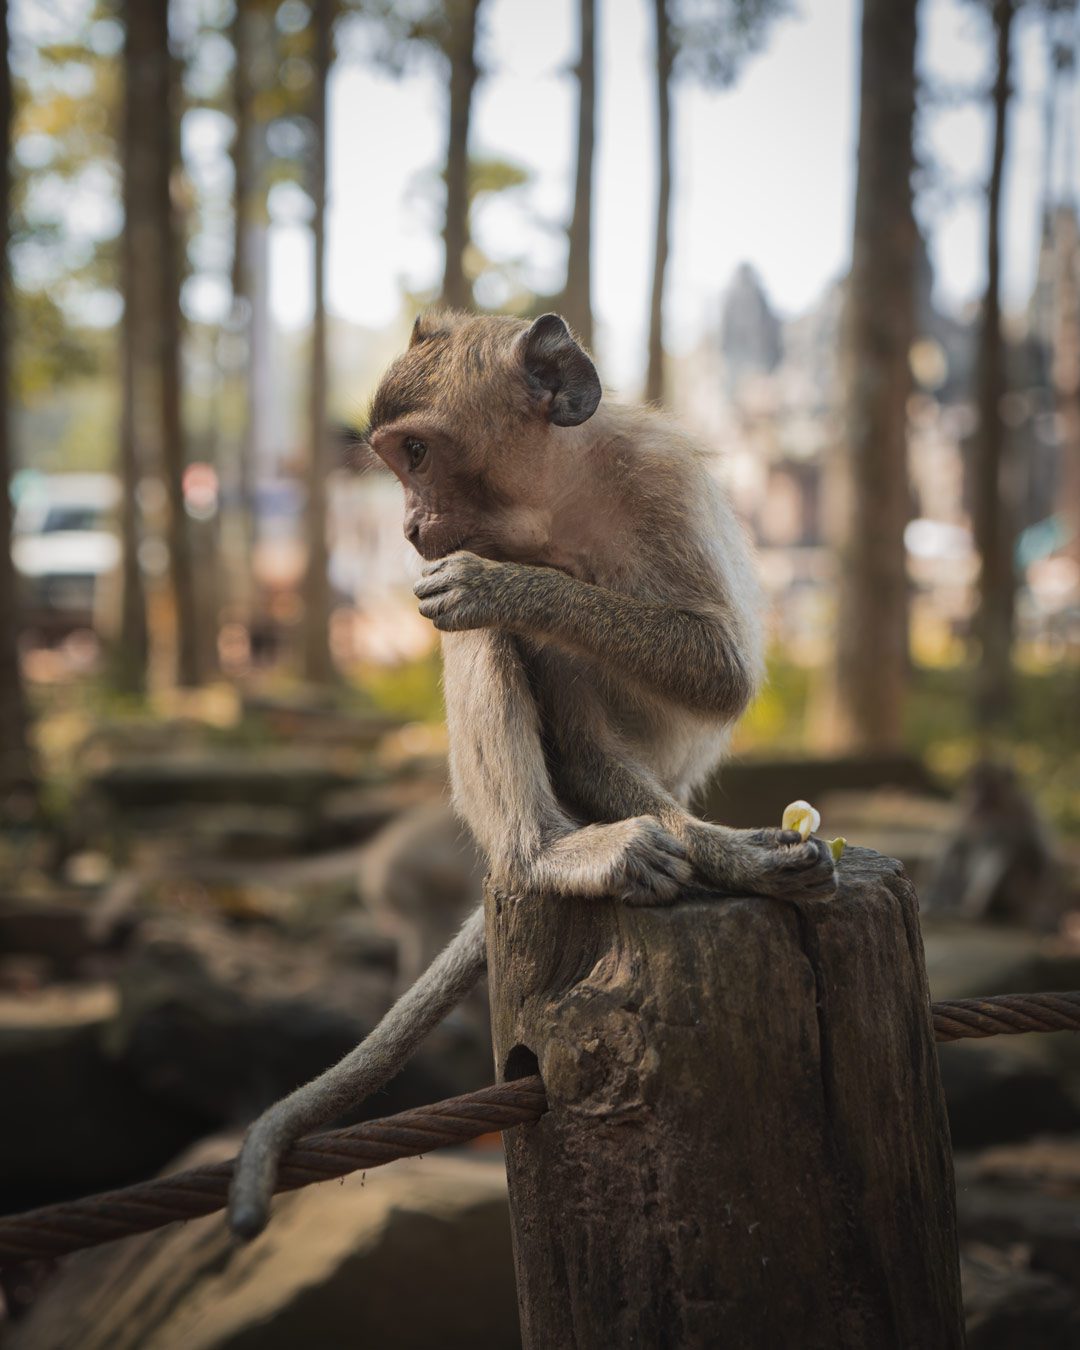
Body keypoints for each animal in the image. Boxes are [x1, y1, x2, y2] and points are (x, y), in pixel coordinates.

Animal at [225, 310, 837, 1236]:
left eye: (416, 453)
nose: (408, 525)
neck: (556, 496)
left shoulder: (656, 481)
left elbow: (721, 671)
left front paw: (505, 586)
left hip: (660, 766)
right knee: (512, 680)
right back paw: (549, 852)